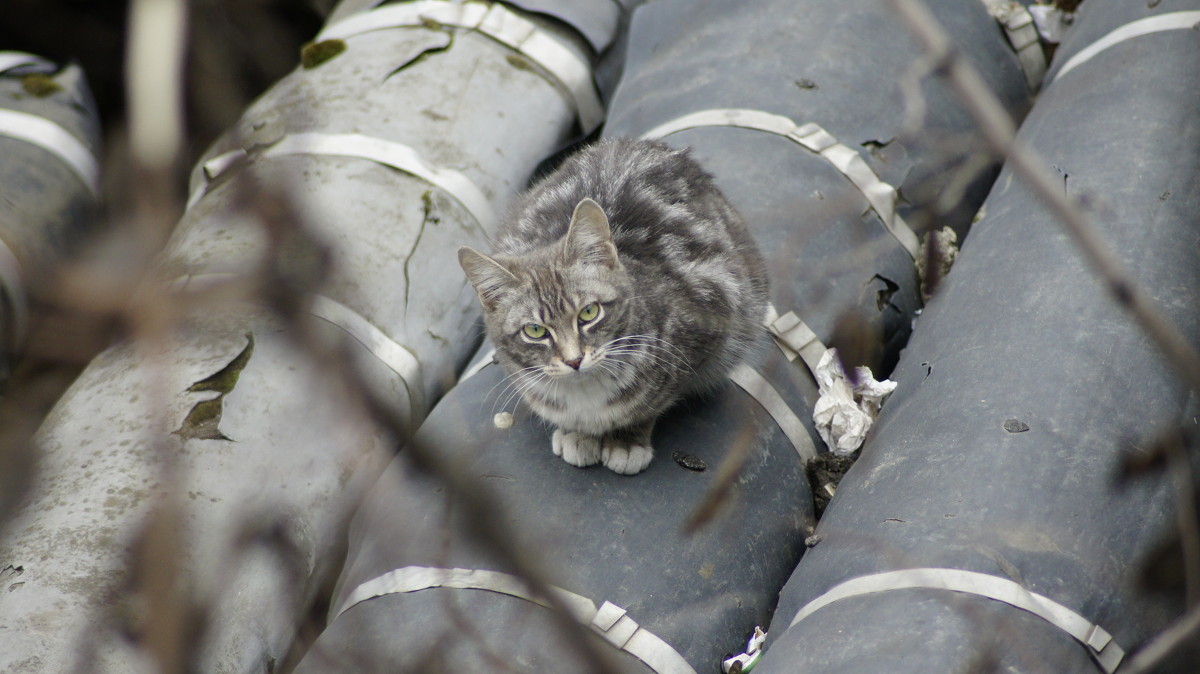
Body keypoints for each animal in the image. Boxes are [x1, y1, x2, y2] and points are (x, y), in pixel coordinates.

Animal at [458, 137, 768, 472]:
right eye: (535, 331)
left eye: (589, 312)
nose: (574, 360)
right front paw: (577, 433)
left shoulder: (710, 317)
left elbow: (652, 403)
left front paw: (626, 439)